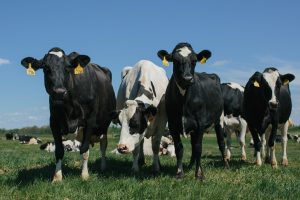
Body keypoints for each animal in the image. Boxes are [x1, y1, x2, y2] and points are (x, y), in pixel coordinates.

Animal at [21, 47, 116, 181]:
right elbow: (59, 151)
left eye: (67, 68)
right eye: (46, 68)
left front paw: (84, 175)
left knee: (103, 146)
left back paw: (103, 167)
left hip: (103, 127)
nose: (59, 92)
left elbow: (85, 150)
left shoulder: (90, 120)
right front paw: (57, 177)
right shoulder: (54, 122)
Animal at [157, 42, 227, 180]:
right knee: (193, 146)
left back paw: (226, 164)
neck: (184, 100)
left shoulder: (200, 123)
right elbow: (179, 148)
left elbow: (199, 147)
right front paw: (180, 172)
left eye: (194, 60)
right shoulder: (173, 124)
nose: (187, 78)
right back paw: (190, 165)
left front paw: (199, 174)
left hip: (219, 119)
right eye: (175, 61)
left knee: (221, 142)